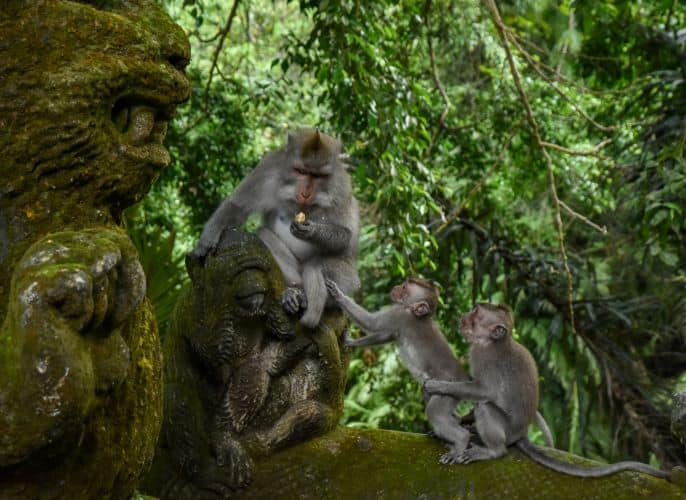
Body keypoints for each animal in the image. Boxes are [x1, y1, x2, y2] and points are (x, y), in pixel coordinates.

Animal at [192, 129, 360, 328]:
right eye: (301, 171)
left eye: (318, 176)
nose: (306, 193)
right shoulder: (269, 169)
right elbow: (237, 205)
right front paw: (206, 241)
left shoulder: (341, 186)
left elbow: (346, 237)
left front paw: (312, 231)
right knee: (263, 234)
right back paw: (292, 294)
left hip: (349, 281)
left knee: (318, 265)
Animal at [328, 278, 472, 460]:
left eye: (404, 288)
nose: (396, 288)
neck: (417, 315)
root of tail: (464, 378)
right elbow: (386, 335)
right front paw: (352, 342)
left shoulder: (400, 315)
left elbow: (372, 323)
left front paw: (339, 295)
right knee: (431, 399)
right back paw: (453, 425)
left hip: (449, 389)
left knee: (435, 411)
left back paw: (461, 441)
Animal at [424, 302, 672, 478]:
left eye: (475, 313)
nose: (463, 317)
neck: (495, 343)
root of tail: (521, 433)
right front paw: (463, 421)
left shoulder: (483, 357)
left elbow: (483, 392)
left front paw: (438, 385)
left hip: (508, 431)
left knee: (485, 408)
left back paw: (492, 450)